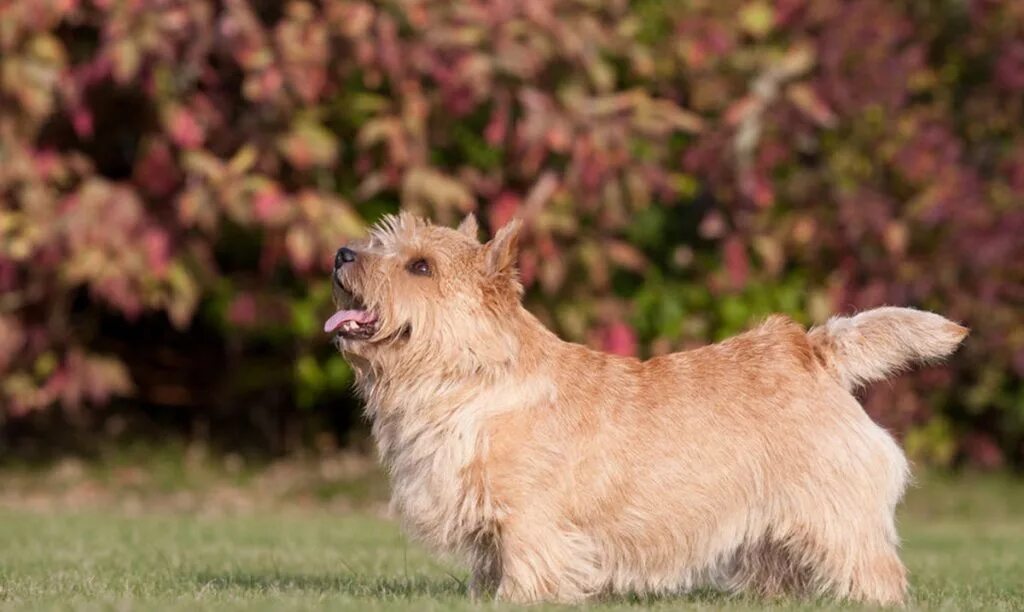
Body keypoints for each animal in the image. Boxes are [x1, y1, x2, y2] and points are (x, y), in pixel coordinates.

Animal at [325, 213, 966, 605]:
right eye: (379, 241)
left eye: (421, 266)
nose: (341, 252)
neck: (466, 382)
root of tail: (810, 348)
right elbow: (488, 574)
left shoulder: (530, 520)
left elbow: (527, 571)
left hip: (836, 513)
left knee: (878, 574)